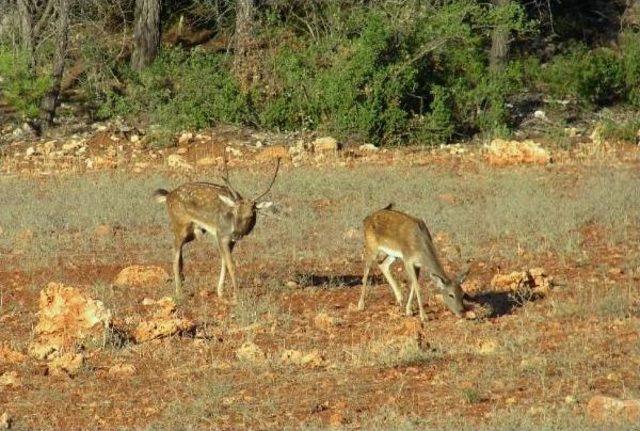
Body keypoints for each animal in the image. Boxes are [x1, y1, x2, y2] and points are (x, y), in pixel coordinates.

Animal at [153, 154, 280, 298]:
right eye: (235, 212)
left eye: (250, 215)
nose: (236, 233)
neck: (231, 224)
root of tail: (167, 196)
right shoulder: (221, 234)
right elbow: (231, 265)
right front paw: (237, 295)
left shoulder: (231, 241)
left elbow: (224, 262)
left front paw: (220, 291)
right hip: (179, 224)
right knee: (174, 252)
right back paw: (179, 292)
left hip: (193, 232)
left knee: (179, 252)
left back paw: (182, 281)